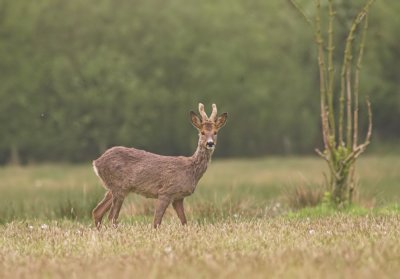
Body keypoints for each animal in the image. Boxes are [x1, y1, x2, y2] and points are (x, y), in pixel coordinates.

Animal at [92, 104, 227, 229]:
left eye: (215, 132)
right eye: (202, 132)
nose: (210, 143)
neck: (191, 170)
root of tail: (96, 162)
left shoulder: (178, 198)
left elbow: (184, 222)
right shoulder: (166, 192)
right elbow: (156, 222)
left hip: (114, 188)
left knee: (97, 211)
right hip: (119, 187)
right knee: (111, 216)